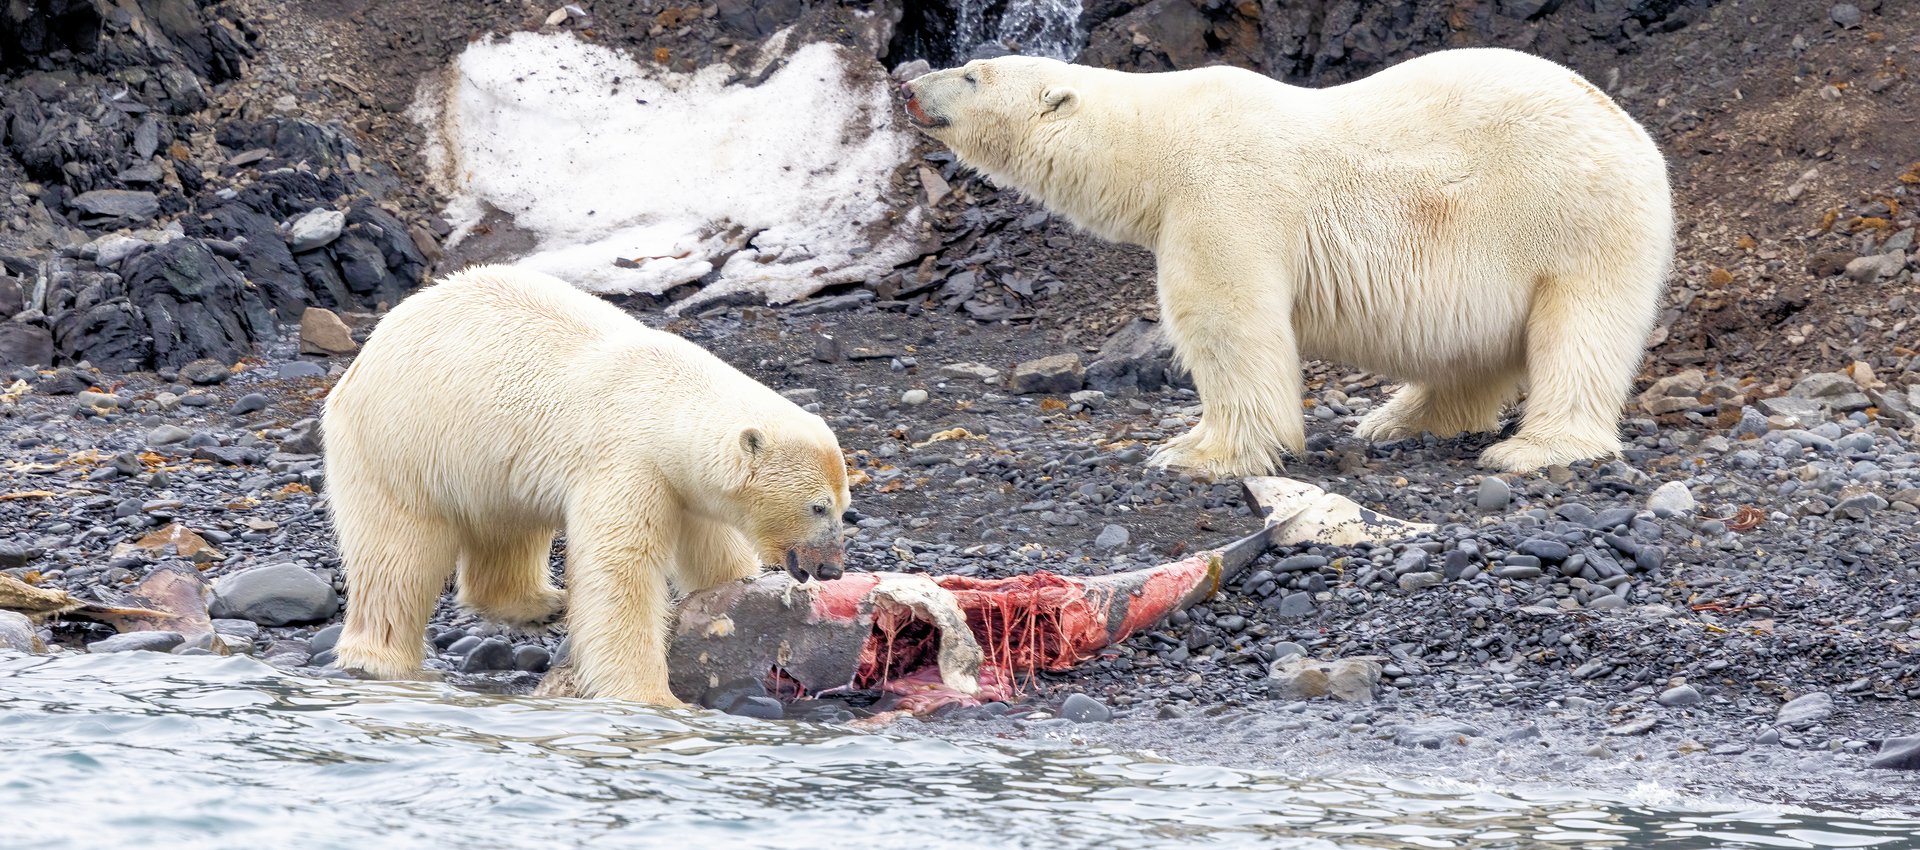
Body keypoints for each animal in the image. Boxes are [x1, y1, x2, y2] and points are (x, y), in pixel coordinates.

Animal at [326, 264, 852, 706]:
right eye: (818, 506)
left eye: (844, 505)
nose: (831, 568)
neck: (664, 397)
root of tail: (367, 351)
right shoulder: (627, 463)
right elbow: (622, 570)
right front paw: (652, 697)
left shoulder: (681, 484)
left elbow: (712, 549)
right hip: (403, 442)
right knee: (397, 556)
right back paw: (380, 659)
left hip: (487, 463)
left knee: (507, 529)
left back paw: (544, 603)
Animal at [898, 49, 1666, 475]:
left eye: (970, 75)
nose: (907, 86)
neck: (1157, 141)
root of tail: (1636, 133)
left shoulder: (1222, 196)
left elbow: (1226, 321)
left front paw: (1196, 452)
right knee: (1472, 351)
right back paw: (1396, 419)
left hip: (1571, 222)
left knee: (1581, 333)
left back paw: (1535, 448)